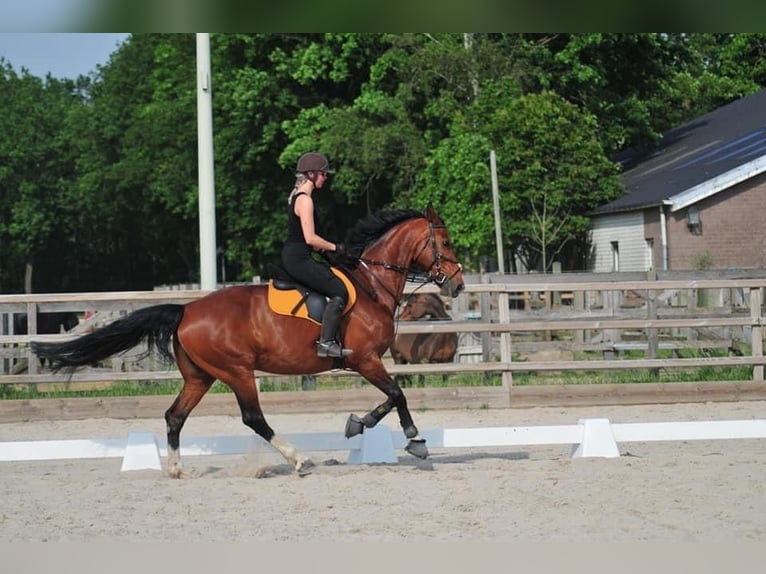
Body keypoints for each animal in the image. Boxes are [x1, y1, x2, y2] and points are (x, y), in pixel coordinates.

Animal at [31, 205, 468, 480]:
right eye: (445, 243)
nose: (459, 284)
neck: (370, 284)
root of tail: (185, 310)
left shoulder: (366, 361)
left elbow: (391, 397)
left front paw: (359, 424)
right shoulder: (364, 359)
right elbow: (397, 395)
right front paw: (411, 440)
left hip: (201, 376)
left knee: (175, 416)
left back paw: (176, 469)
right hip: (237, 370)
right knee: (253, 418)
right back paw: (298, 461)